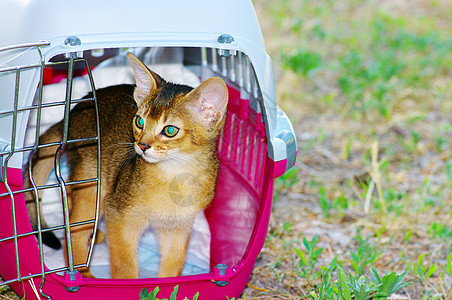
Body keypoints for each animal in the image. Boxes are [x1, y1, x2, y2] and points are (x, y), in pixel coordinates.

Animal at [23, 52, 228, 278]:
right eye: (139, 122)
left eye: (170, 130)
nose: (142, 145)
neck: (177, 176)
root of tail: (72, 112)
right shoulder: (119, 215)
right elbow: (124, 266)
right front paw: (127, 282)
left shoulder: (178, 228)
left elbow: (173, 266)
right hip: (93, 184)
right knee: (75, 229)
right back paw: (82, 274)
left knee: (69, 195)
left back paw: (96, 235)